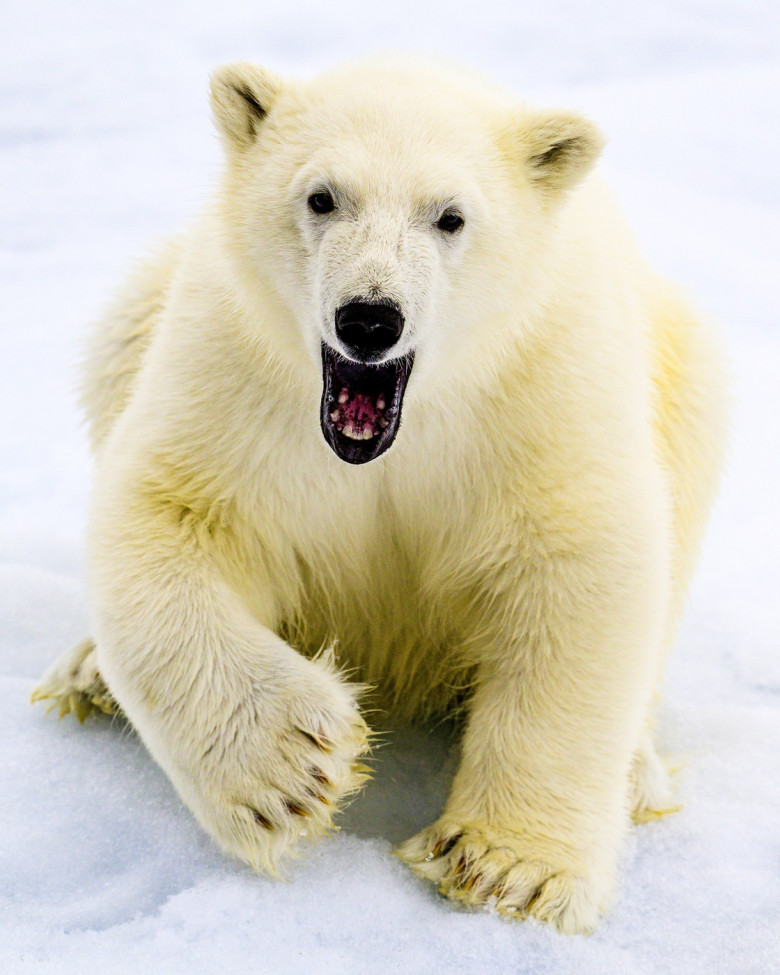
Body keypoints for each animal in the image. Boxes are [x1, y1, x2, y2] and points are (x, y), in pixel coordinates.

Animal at [33, 57, 728, 936]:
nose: (369, 318)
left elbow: (580, 558)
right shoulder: (238, 369)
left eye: (451, 217)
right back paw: (91, 673)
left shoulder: (539, 383)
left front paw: (508, 868)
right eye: (322, 197)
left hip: (679, 359)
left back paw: (637, 774)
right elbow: (172, 511)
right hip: (147, 305)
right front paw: (289, 764)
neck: (395, 434)